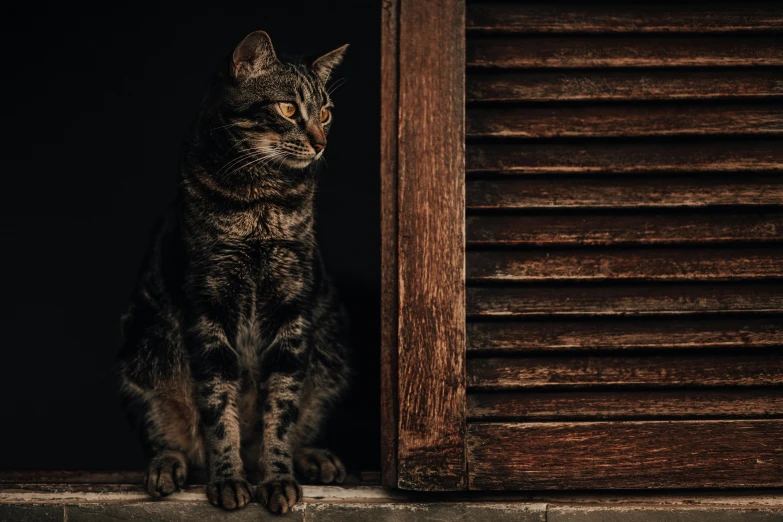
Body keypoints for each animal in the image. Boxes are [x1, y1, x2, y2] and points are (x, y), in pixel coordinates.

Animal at [118, 31, 350, 512]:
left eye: (325, 112)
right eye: (288, 109)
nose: (320, 142)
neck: (260, 202)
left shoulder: (291, 309)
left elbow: (281, 407)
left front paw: (277, 479)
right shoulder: (208, 309)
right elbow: (218, 406)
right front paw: (228, 480)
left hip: (330, 344)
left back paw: (315, 458)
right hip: (145, 342)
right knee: (169, 434)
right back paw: (166, 467)